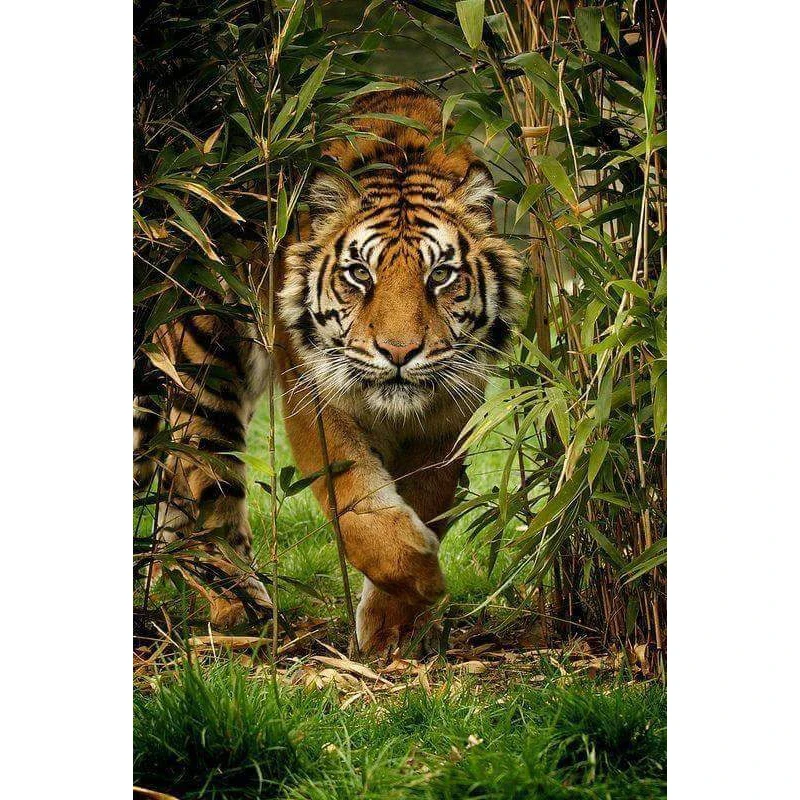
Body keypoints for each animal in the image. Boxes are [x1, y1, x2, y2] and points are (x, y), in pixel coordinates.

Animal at [134, 85, 523, 657]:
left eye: (441, 275)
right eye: (359, 274)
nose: (399, 352)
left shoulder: (450, 410)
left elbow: (427, 497)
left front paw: (393, 627)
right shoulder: (315, 394)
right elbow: (355, 502)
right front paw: (422, 578)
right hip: (205, 363)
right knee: (203, 481)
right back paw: (243, 612)